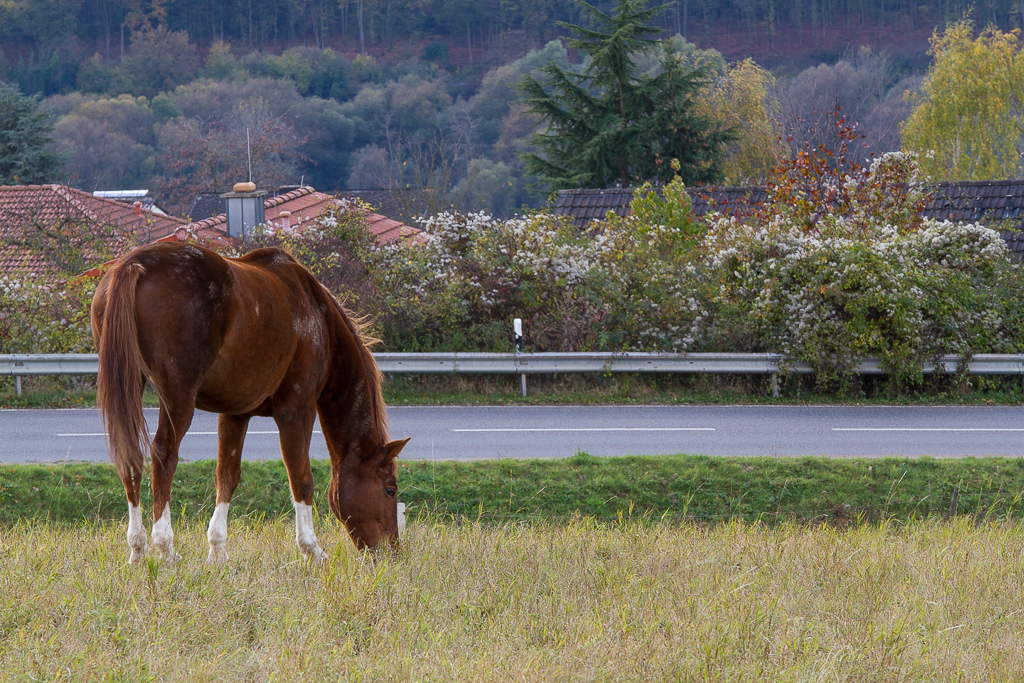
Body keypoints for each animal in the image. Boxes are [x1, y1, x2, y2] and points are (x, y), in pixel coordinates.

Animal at [91, 241, 409, 564]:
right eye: (390, 490)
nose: (393, 552)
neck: (321, 320)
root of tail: (134, 264)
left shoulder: (234, 413)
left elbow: (227, 476)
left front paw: (217, 551)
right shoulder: (297, 410)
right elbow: (301, 478)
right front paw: (312, 549)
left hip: (131, 384)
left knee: (130, 457)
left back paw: (137, 548)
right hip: (178, 398)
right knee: (163, 455)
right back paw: (165, 545)